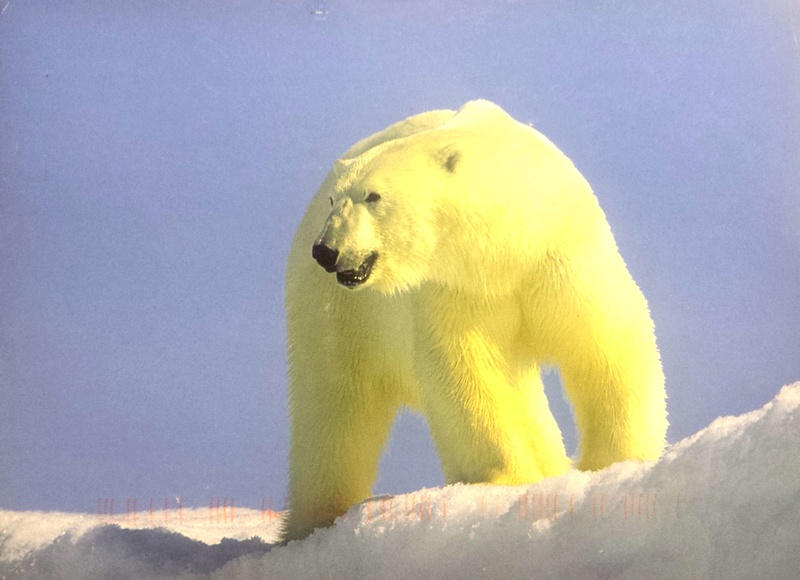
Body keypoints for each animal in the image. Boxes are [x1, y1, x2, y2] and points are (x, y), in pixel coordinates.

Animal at [282, 101, 668, 544]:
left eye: (372, 195)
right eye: (335, 199)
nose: (327, 250)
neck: (503, 248)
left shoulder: (558, 254)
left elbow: (604, 341)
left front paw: (616, 461)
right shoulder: (452, 289)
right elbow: (466, 374)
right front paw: (510, 479)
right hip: (336, 314)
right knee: (332, 407)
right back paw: (315, 520)